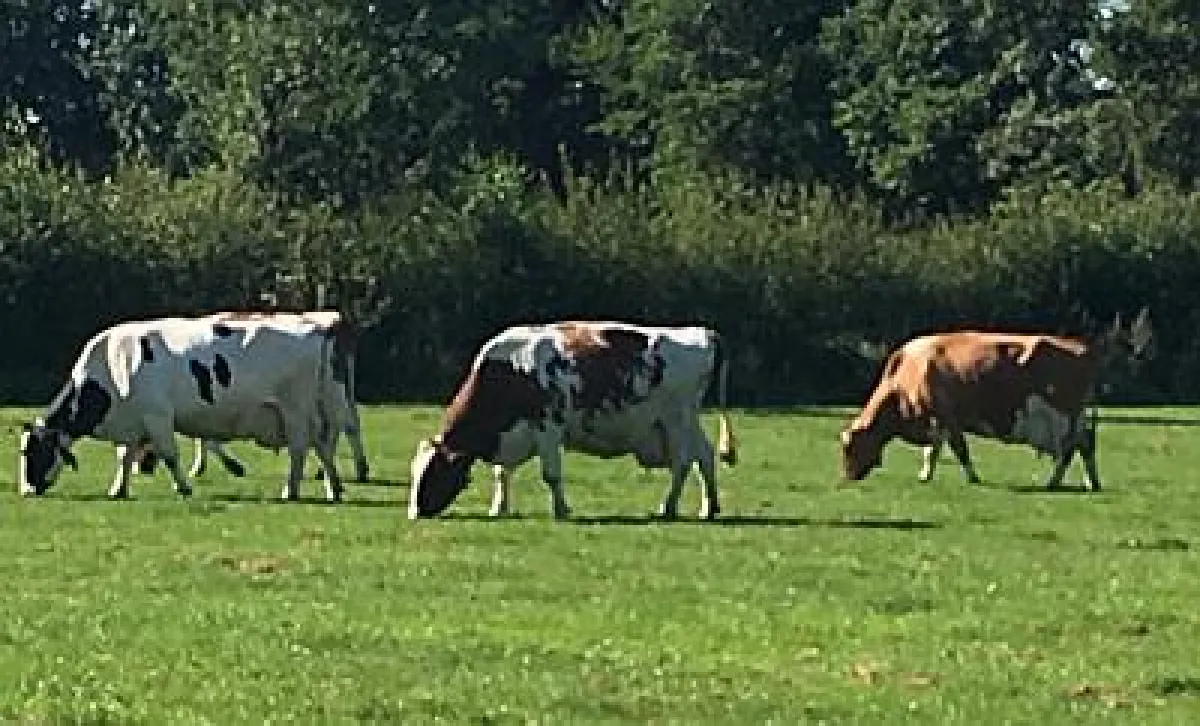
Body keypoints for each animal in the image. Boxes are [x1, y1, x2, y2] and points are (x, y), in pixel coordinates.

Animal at [18, 311, 355, 501]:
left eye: (33, 452)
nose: (26, 490)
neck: (113, 367)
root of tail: (317, 327)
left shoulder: (157, 416)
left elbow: (169, 455)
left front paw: (184, 487)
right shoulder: (135, 422)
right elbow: (124, 457)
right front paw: (118, 490)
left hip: (294, 409)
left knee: (300, 450)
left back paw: (291, 491)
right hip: (316, 408)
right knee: (323, 446)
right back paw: (334, 489)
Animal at [408, 321, 737, 520]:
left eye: (433, 471)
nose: (414, 512)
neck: (509, 371)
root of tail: (701, 332)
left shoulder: (548, 427)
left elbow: (551, 475)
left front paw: (561, 509)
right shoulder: (514, 433)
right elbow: (502, 473)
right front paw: (499, 508)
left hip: (675, 420)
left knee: (683, 463)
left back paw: (667, 507)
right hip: (688, 420)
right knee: (705, 456)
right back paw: (709, 507)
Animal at [838, 319, 1150, 490]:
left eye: (849, 447)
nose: (847, 477)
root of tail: (1083, 347)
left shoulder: (946, 416)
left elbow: (958, 450)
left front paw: (971, 478)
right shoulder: (939, 422)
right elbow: (933, 451)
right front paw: (925, 475)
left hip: (1064, 417)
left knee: (1072, 449)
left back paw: (1056, 482)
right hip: (1076, 418)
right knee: (1083, 446)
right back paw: (1088, 483)